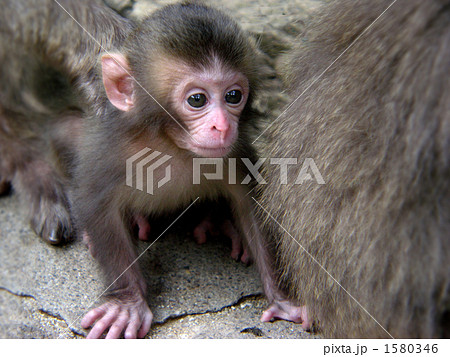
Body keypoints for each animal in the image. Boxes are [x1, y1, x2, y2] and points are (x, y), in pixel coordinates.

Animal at [0, 0, 304, 338]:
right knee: (64, 129)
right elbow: (96, 205)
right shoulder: (108, 152)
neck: (170, 144)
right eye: (197, 99)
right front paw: (126, 304)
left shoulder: (234, 152)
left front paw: (283, 298)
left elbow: (250, 204)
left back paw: (216, 221)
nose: (223, 126)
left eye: (233, 96)